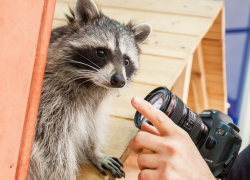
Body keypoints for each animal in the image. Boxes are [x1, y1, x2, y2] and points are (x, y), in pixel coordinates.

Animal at [28, 0, 151, 179]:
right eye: (101, 52)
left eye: (126, 61)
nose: (119, 80)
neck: (91, 84)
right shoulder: (49, 102)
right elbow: (51, 147)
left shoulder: (94, 103)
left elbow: (92, 122)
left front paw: (92, 150)